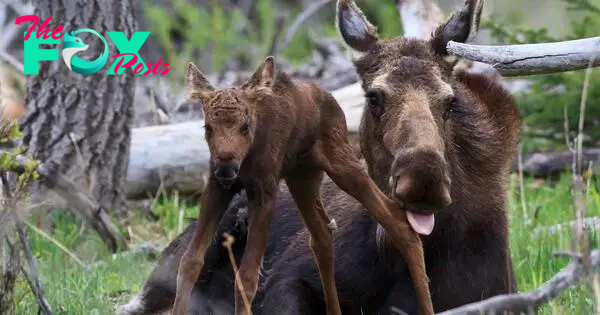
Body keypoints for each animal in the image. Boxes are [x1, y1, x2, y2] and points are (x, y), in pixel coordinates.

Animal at [171, 56, 434, 315]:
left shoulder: (264, 193)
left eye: (245, 126)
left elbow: (246, 277)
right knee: (322, 237)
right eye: (207, 127)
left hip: (342, 164)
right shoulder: (217, 187)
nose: (226, 166)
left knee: (398, 221)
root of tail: (330, 98)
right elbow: (189, 261)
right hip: (302, 180)